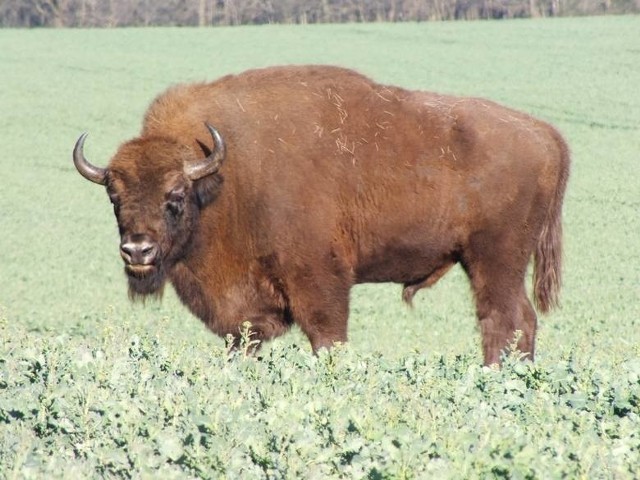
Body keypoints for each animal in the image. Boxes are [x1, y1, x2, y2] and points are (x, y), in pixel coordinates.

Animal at [75, 63, 568, 364]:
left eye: (175, 196)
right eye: (114, 196)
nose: (137, 251)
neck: (227, 176)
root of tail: (546, 134)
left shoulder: (319, 281)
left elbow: (327, 335)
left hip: (494, 261)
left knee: (503, 320)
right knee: (518, 321)